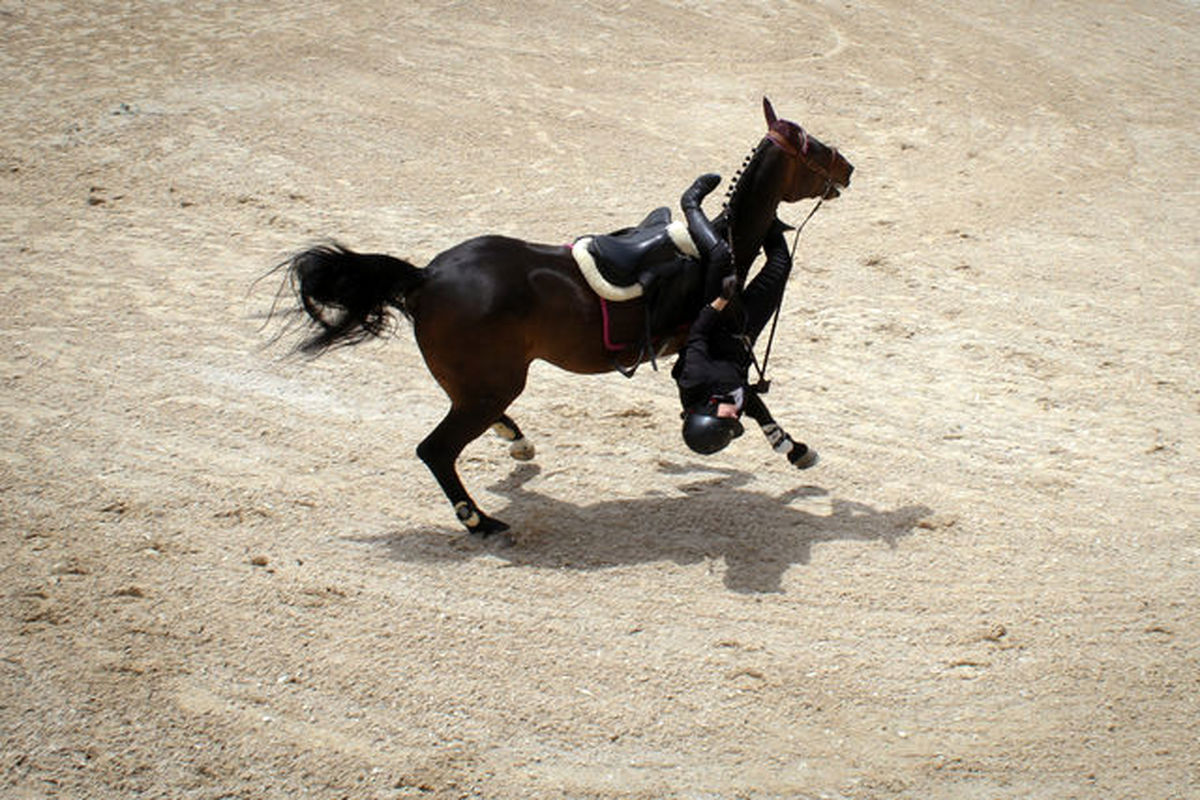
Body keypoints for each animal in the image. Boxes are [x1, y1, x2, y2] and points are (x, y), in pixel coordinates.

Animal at [274, 100, 854, 537]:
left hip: (481, 384)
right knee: (435, 449)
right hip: (495, 383)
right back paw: (479, 521)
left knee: (469, 424)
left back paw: (515, 442)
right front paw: (795, 449)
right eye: (813, 145)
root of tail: (424, 276)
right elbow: (751, 397)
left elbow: (750, 397)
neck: (719, 240)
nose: (849, 167)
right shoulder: (703, 345)